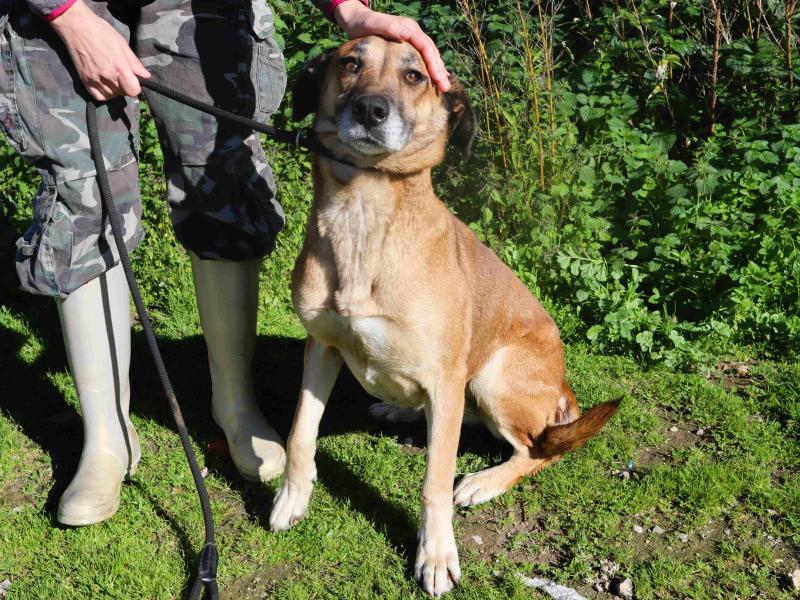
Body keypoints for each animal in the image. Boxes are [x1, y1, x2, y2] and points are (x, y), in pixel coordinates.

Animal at [269, 36, 619, 596]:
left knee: (537, 452)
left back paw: (481, 482)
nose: (370, 109)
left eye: (415, 76)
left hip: (492, 376)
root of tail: (563, 389)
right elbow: (302, 430)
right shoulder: (321, 346)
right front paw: (291, 497)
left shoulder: (446, 376)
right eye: (349, 63)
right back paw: (399, 410)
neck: (364, 214)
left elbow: (433, 482)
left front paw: (435, 555)